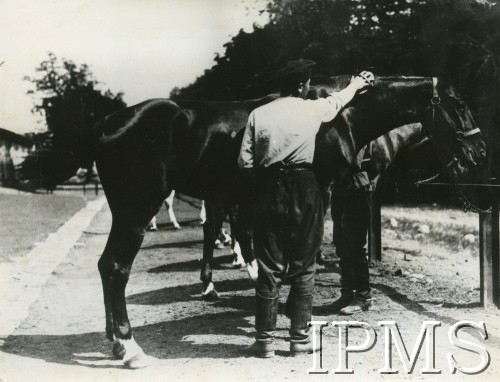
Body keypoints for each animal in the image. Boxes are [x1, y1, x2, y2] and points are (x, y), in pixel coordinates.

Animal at [18, 74, 484, 368]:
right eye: (459, 105)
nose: (479, 155)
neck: (339, 115)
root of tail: (108, 122)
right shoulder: (322, 194)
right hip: (136, 209)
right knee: (115, 267)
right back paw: (130, 350)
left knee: (109, 267)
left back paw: (117, 341)